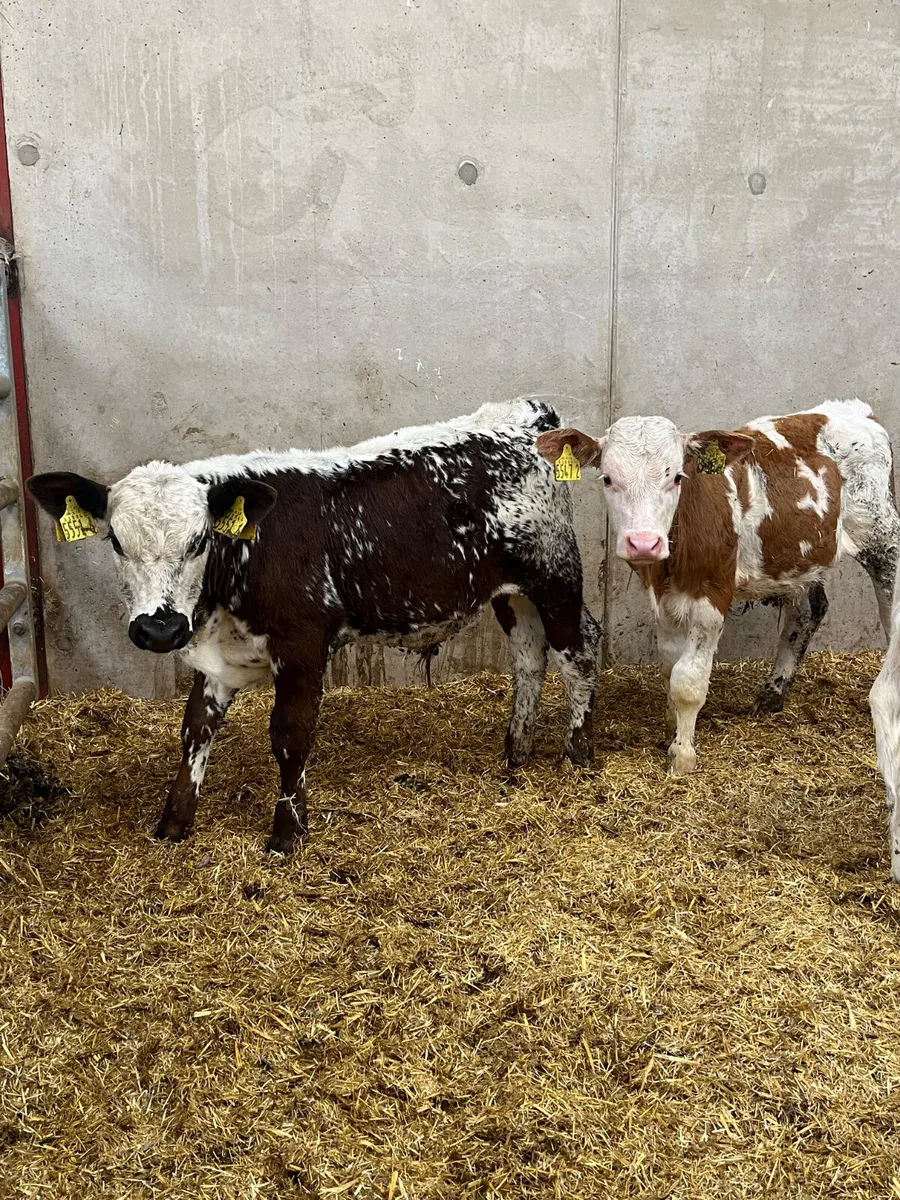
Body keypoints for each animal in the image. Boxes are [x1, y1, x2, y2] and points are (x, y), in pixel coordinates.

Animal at [28, 398, 601, 853]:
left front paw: (287, 833)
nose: (161, 630)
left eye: (199, 540)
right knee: (528, 659)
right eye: (115, 542)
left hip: (554, 576)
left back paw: (576, 755)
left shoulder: (302, 643)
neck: (245, 557)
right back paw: (516, 753)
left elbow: (290, 734)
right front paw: (173, 822)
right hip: (511, 594)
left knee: (579, 652)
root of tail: (527, 414)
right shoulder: (215, 655)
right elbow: (195, 729)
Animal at [536, 399, 900, 777]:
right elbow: (670, 665)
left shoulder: (713, 593)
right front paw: (672, 729)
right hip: (798, 558)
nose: (643, 543)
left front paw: (682, 755)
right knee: (808, 611)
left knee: (890, 615)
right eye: (608, 478)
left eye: (676, 477)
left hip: (883, 539)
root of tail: (853, 411)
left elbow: (688, 681)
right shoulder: (664, 600)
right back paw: (772, 694)